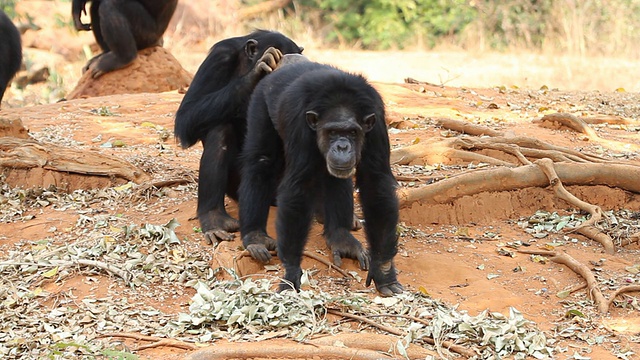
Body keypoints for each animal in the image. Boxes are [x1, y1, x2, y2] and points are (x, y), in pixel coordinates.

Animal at [174, 30, 304, 245]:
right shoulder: (218, 58)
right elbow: (187, 115)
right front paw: (256, 72)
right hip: (237, 187)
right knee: (220, 130)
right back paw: (214, 219)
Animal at [240, 59, 404, 296]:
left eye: (352, 132)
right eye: (333, 131)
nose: (342, 146)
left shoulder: (376, 121)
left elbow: (376, 183)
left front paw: (384, 271)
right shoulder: (299, 123)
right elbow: (298, 187)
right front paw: (292, 272)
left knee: (336, 179)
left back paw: (341, 238)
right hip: (260, 101)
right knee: (261, 161)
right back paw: (255, 237)